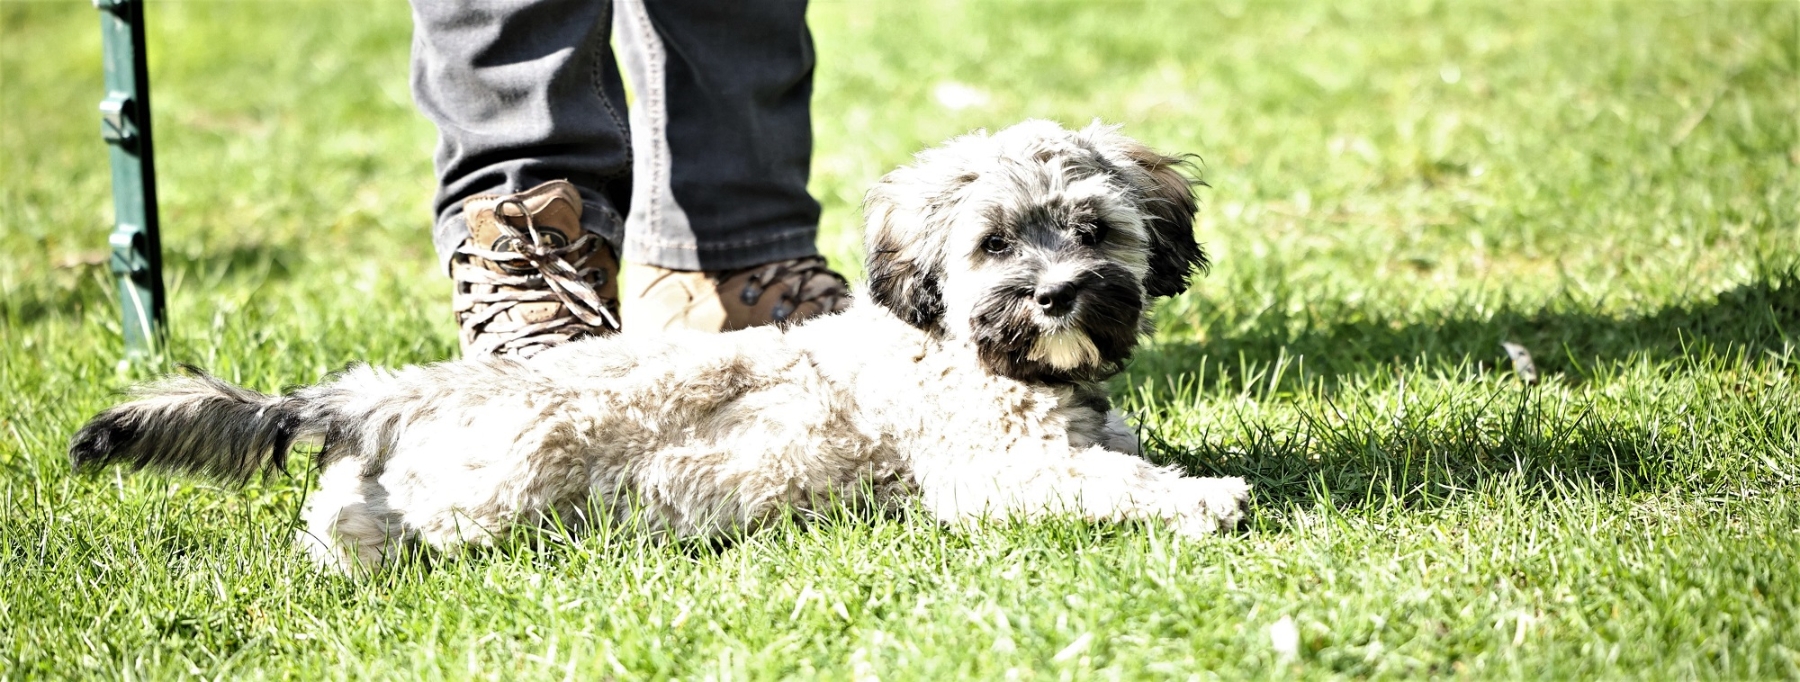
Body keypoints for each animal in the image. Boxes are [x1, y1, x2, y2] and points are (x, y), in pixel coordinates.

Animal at [70, 120, 1252, 575]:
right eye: (995, 243)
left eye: (1091, 230)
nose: (1057, 295)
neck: (950, 343)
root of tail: (413, 393)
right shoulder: (996, 470)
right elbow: (1108, 481)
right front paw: (1202, 498)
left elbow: (1115, 447)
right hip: (497, 489)